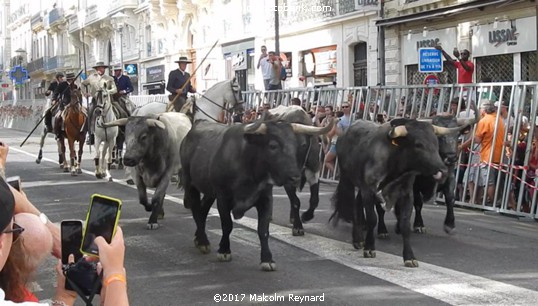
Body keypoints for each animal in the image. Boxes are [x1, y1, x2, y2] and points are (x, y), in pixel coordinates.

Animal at [180, 118, 330, 272]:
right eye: (273, 145)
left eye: (299, 146)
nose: (295, 177)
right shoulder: (223, 198)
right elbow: (227, 225)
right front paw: (224, 250)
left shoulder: (266, 199)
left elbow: (263, 230)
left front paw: (267, 259)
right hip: (190, 183)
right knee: (196, 210)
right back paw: (203, 241)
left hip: (210, 192)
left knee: (203, 210)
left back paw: (199, 239)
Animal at [328, 117, 472, 268]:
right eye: (418, 144)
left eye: (435, 142)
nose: (443, 170)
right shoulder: (370, 190)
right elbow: (373, 218)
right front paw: (369, 248)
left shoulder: (407, 193)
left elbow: (405, 223)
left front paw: (409, 257)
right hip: (348, 179)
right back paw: (361, 238)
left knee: (357, 204)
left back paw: (359, 238)